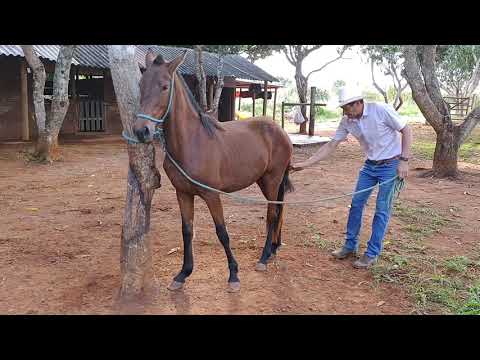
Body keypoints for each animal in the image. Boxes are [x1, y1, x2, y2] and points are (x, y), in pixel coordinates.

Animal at [133, 50, 294, 292]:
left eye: (164, 86)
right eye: (141, 84)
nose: (141, 131)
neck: (192, 142)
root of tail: (280, 130)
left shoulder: (211, 195)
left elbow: (222, 232)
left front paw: (234, 275)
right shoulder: (183, 193)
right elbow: (187, 231)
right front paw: (182, 274)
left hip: (273, 179)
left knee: (272, 213)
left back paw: (264, 257)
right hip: (264, 181)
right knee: (279, 210)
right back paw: (274, 248)